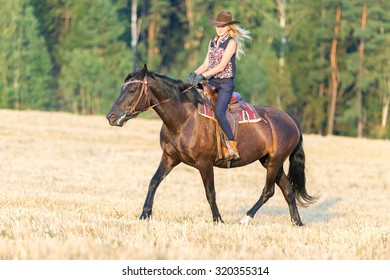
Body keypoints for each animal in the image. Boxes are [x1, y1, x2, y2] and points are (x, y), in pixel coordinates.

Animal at [106, 65, 316, 225]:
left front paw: (218, 220)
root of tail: (290, 119)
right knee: (288, 191)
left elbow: (210, 193)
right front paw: (144, 215)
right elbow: (153, 182)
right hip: (271, 162)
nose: (111, 116)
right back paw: (297, 222)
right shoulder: (169, 158)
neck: (183, 119)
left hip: (274, 162)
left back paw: (245, 219)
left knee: (268, 191)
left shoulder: (204, 163)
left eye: (132, 90)